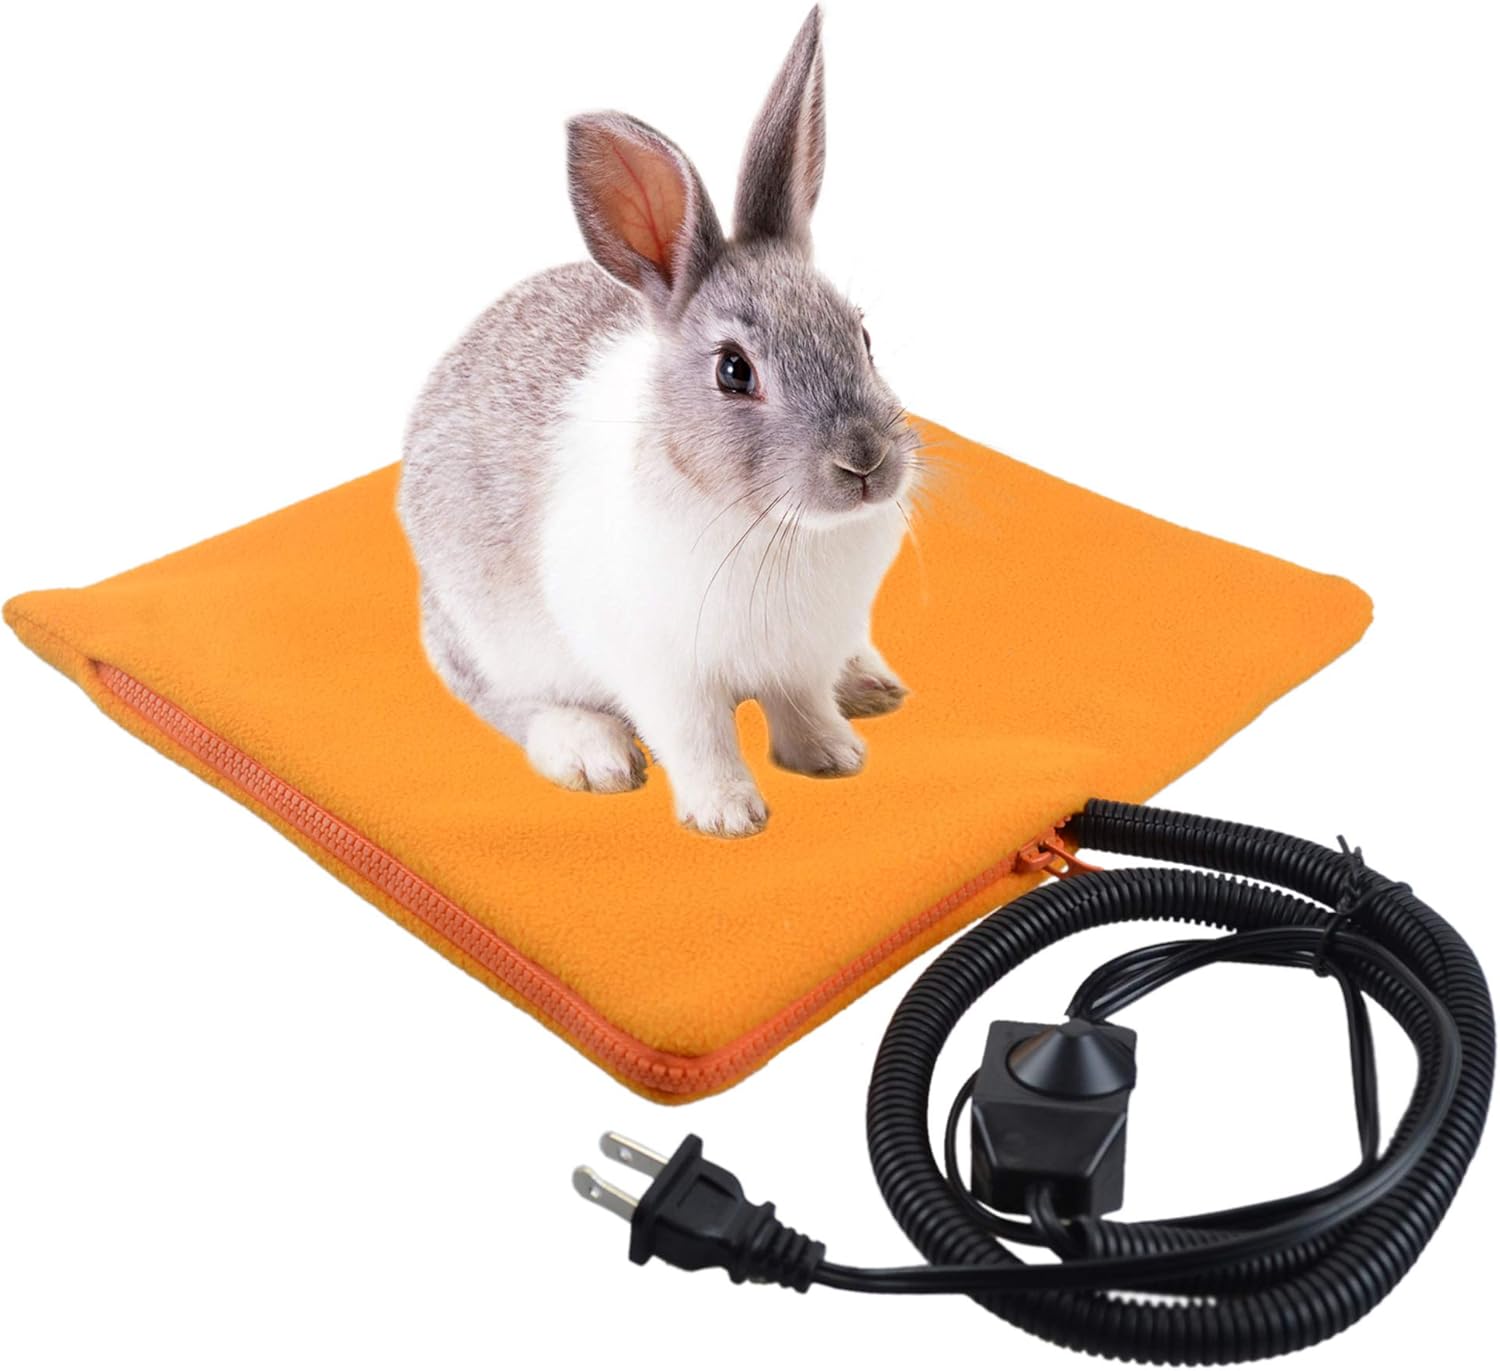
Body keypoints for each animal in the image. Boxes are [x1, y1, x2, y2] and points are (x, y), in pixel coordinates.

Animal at [397, 6, 918, 838]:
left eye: (862, 336)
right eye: (734, 371)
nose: (865, 460)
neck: (772, 525)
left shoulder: (800, 657)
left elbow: (801, 706)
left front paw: (833, 757)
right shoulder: (664, 672)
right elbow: (698, 738)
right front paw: (729, 815)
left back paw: (869, 684)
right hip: (488, 637)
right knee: (507, 702)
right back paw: (592, 752)